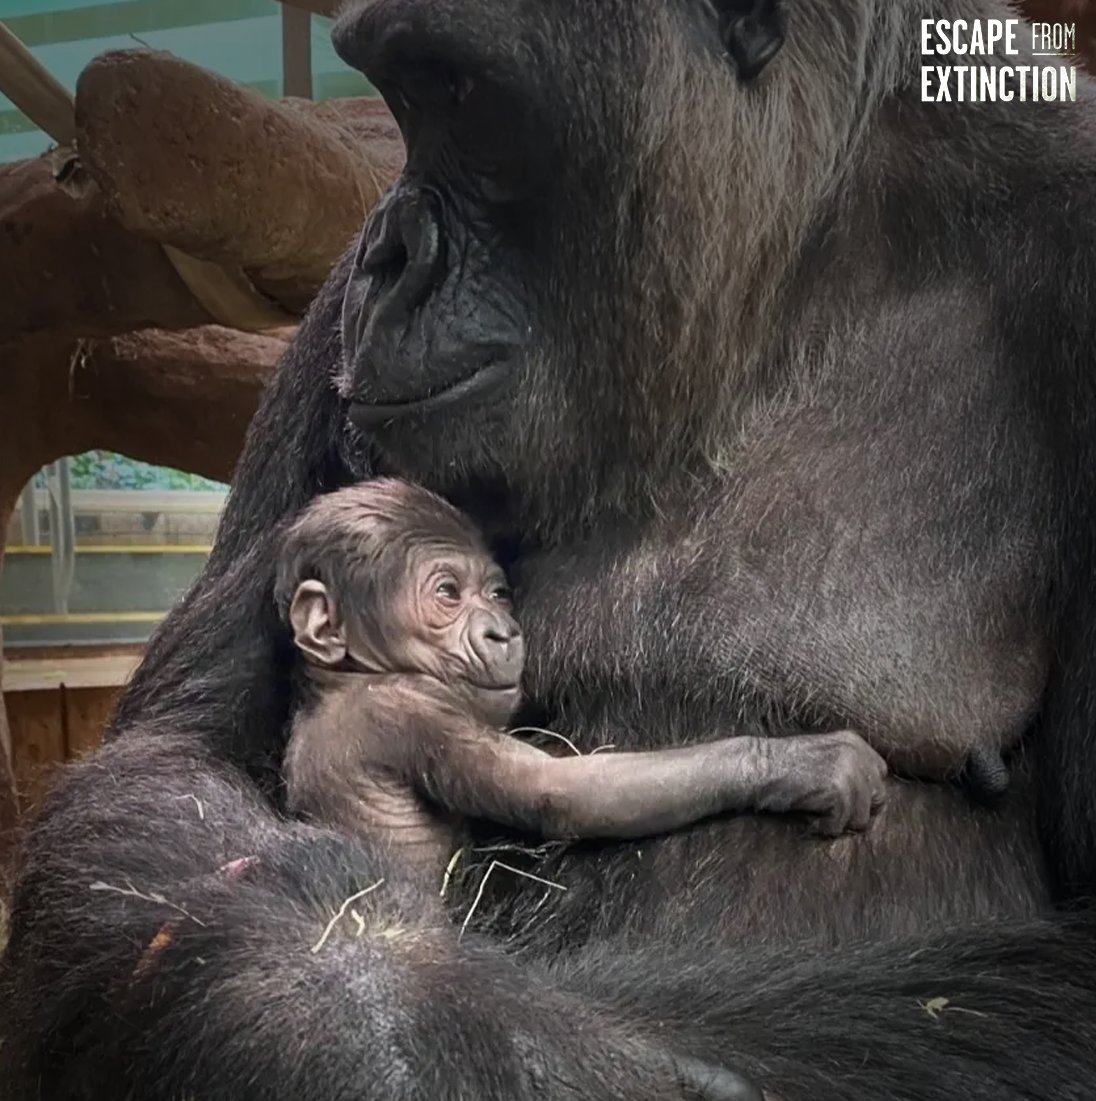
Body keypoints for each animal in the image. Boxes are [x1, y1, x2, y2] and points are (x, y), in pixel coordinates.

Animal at [278, 478, 888, 877]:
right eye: (447, 592)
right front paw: (797, 763)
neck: (349, 679)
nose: (502, 632)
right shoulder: (409, 710)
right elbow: (563, 792)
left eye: (497, 594)